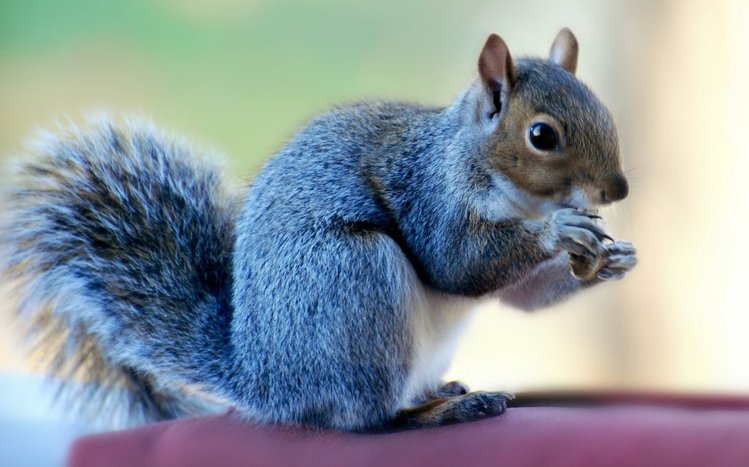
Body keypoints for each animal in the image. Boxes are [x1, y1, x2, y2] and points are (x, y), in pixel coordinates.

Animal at [0, 28, 636, 431]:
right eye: (541, 135)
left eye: (605, 109)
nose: (618, 191)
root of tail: (265, 382)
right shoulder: (431, 195)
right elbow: (458, 262)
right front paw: (560, 231)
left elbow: (523, 297)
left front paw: (613, 260)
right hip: (353, 280)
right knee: (365, 418)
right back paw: (438, 411)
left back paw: (439, 392)